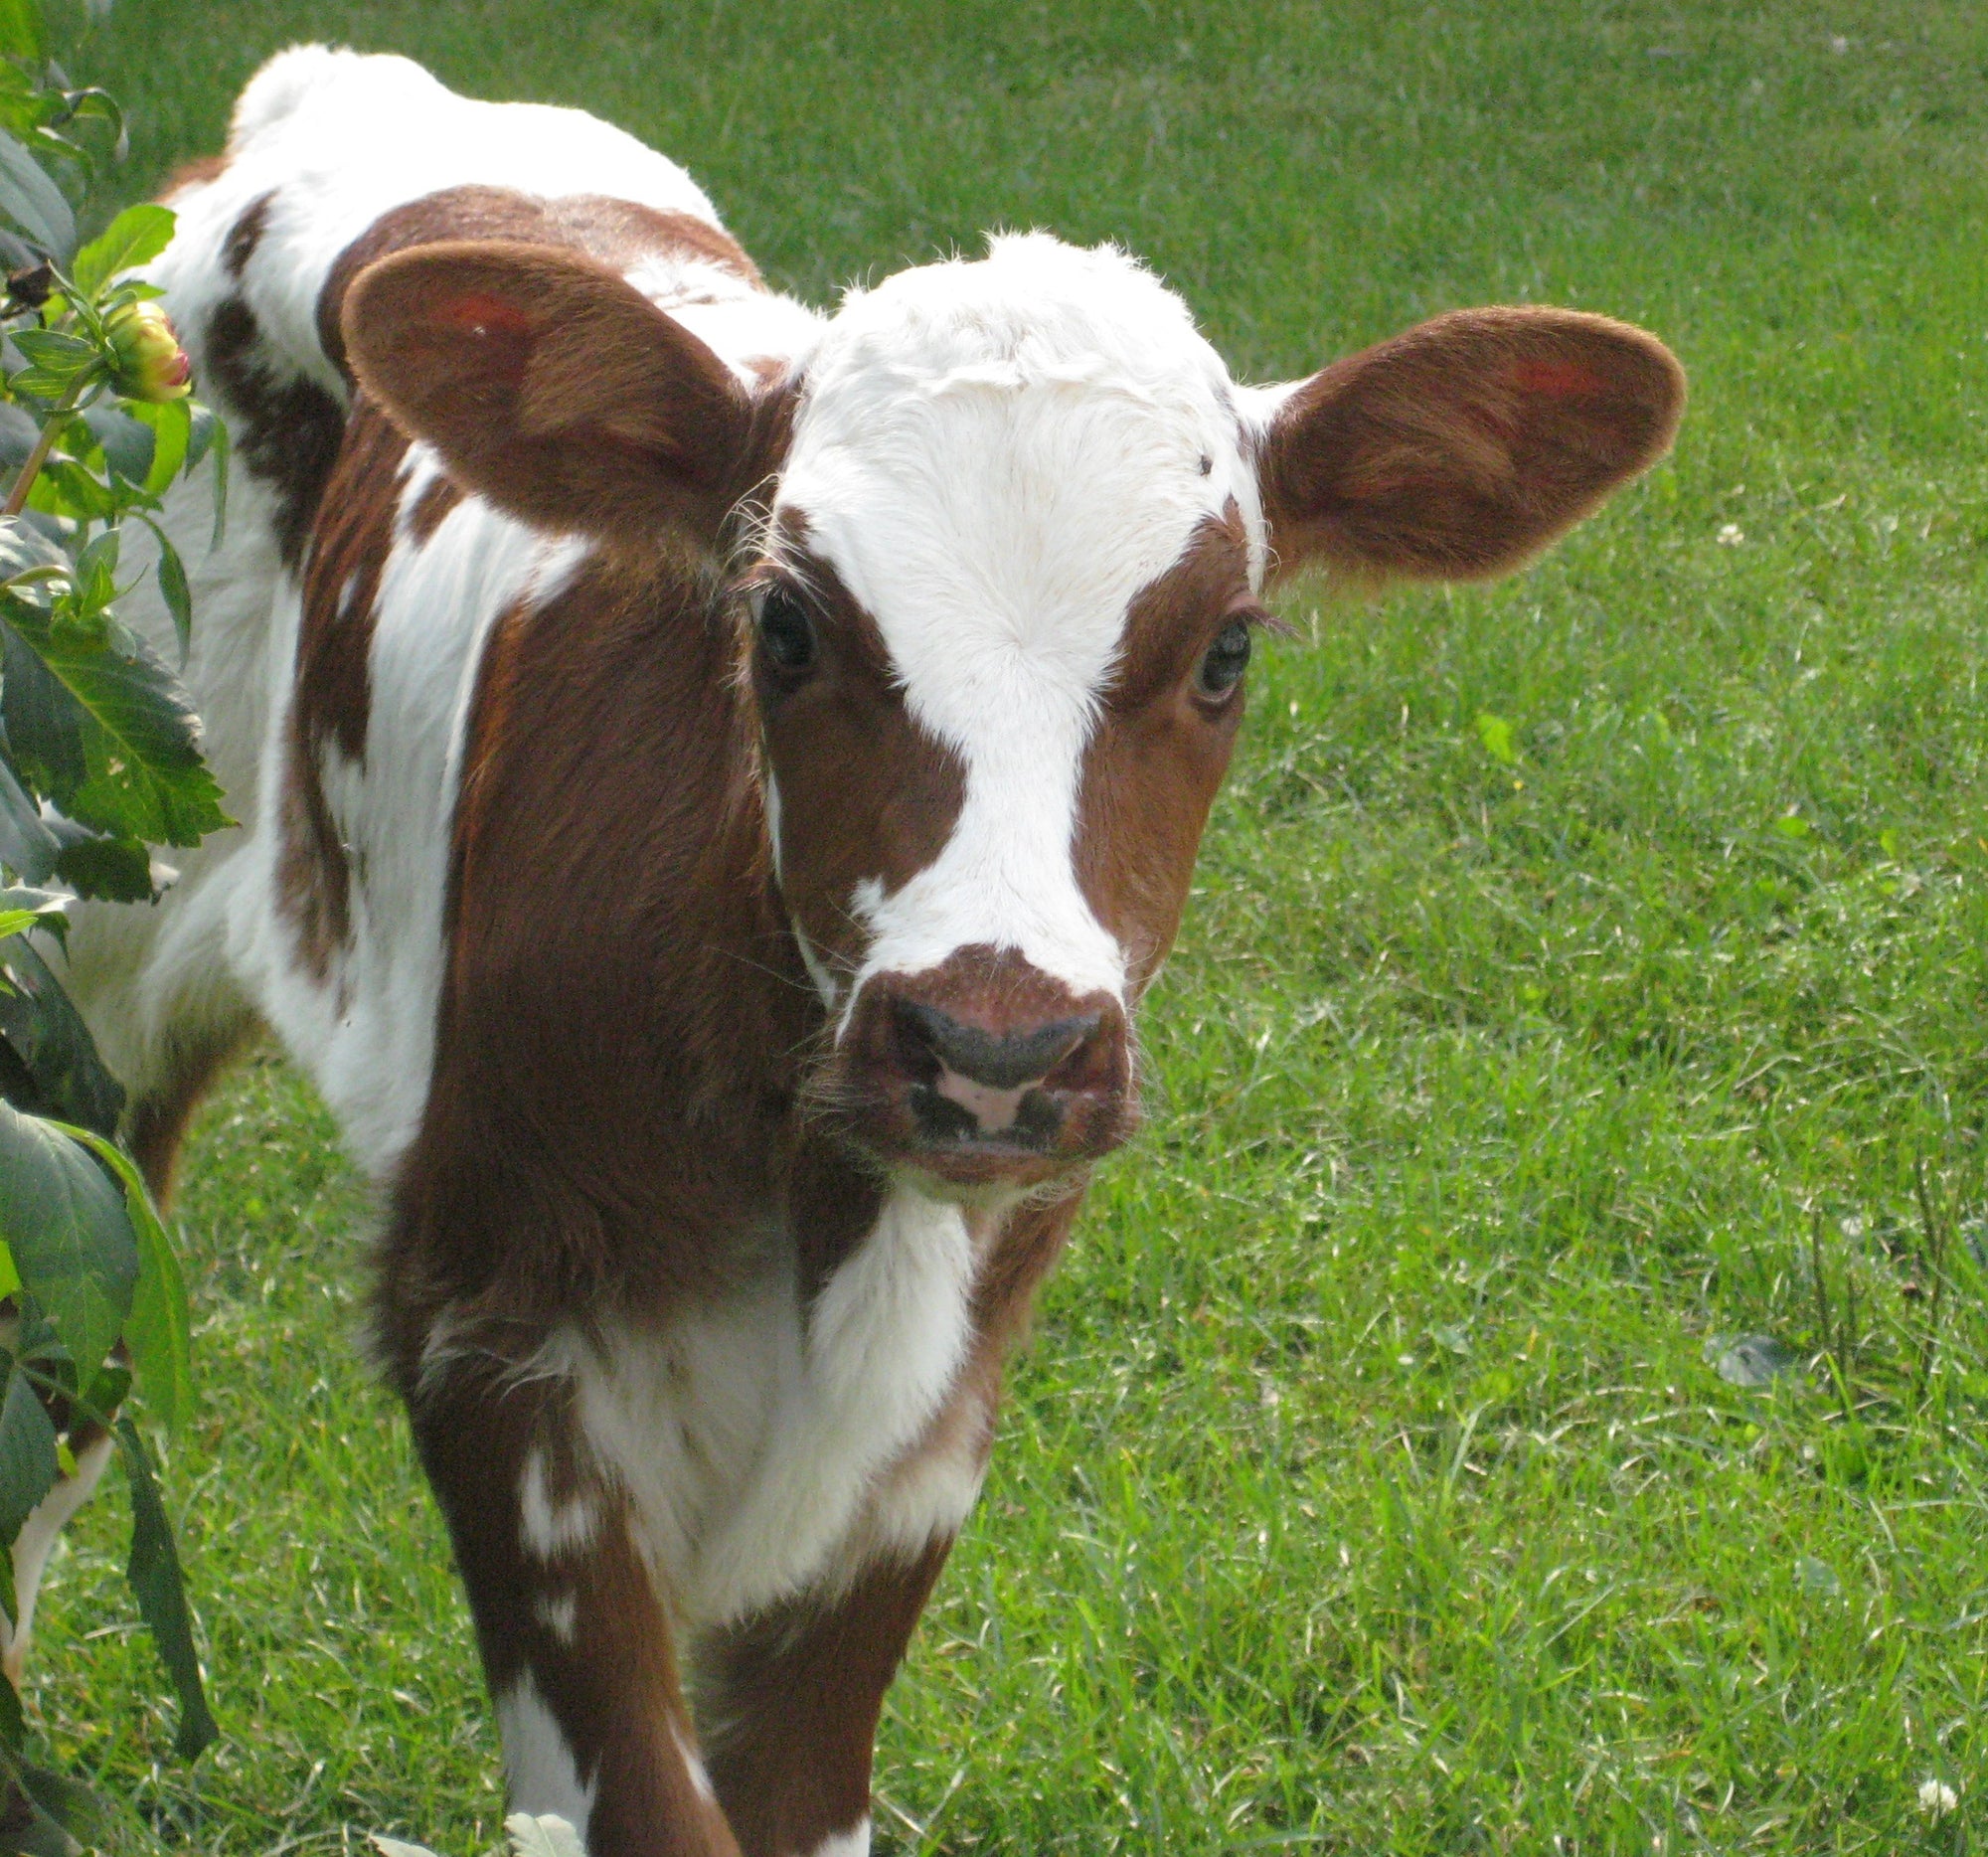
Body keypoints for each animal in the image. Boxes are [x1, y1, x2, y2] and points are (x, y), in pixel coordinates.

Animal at [49, 44, 1684, 1857]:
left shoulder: (929, 1432)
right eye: (784, 622)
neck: (817, 1196)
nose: (993, 1047)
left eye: (1228, 650)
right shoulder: (489, 1341)